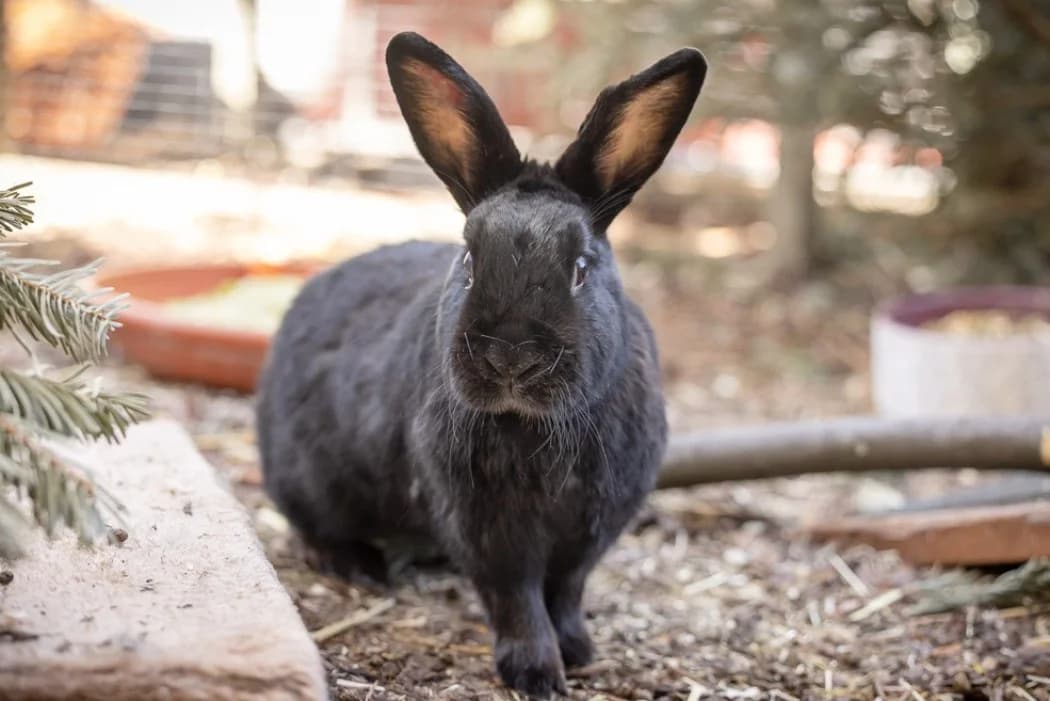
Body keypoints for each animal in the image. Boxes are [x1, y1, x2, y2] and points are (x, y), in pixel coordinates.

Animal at [256, 31, 706, 698]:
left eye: (581, 268)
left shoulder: (589, 530)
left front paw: (579, 651)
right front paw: (536, 673)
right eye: (469, 259)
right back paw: (356, 565)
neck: (535, 428)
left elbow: (565, 591)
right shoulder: (488, 527)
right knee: (312, 524)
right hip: (308, 482)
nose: (510, 355)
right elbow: (517, 598)